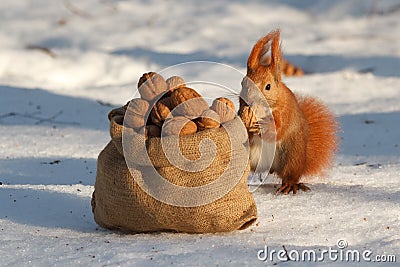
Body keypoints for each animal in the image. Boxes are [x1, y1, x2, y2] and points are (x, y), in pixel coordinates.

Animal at [241, 29, 338, 195]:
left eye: (268, 87)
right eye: (243, 83)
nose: (250, 102)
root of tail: (269, 167)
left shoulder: (286, 112)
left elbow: (279, 129)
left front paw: (265, 126)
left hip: (293, 156)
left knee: (290, 175)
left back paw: (290, 185)